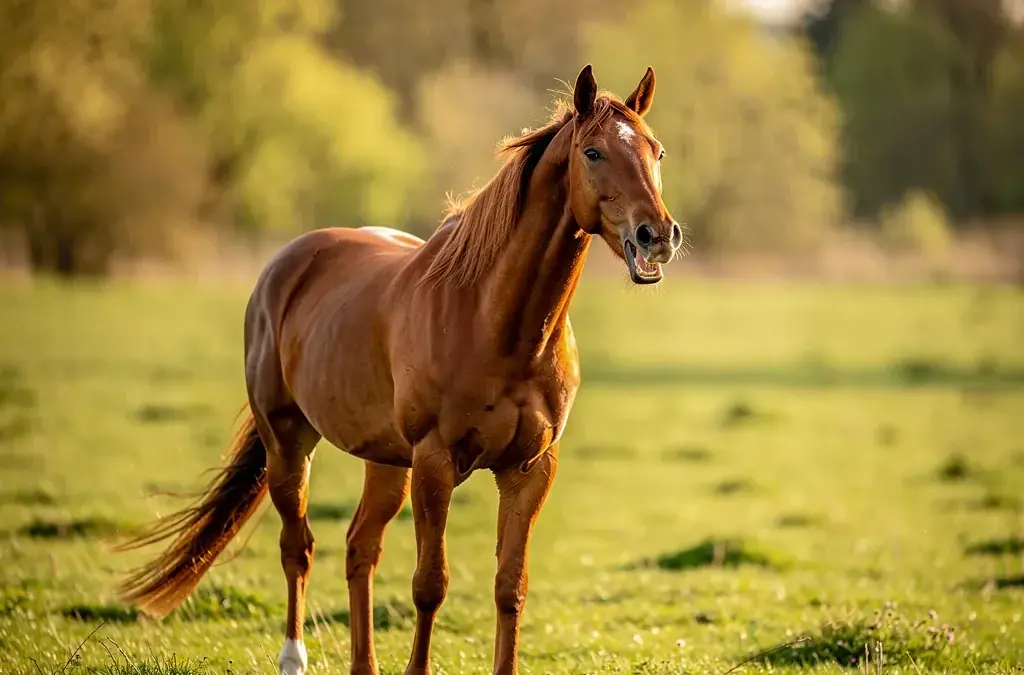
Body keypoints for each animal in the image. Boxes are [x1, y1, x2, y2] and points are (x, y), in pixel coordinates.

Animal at [115, 63, 683, 675]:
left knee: (359, 547)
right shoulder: (435, 462)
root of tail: (285, 265)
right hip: (288, 443)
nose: (657, 234)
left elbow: (510, 587)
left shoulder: (529, 469)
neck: (496, 324)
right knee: (298, 547)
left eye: (657, 151)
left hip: (386, 462)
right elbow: (429, 584)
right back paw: (293, 656)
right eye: (594, 152)